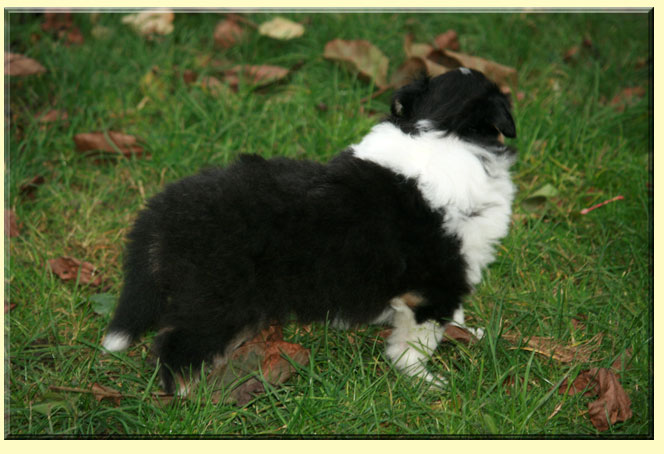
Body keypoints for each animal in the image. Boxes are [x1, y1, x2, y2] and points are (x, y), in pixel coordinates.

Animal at [102, 68, 517, 394]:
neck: (437, 128)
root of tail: (164, 210)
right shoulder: (436, 282)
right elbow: (415, 342)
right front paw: (426, 382)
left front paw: (468, 333)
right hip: (216, 300)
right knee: (175, 345)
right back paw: (188, 393)